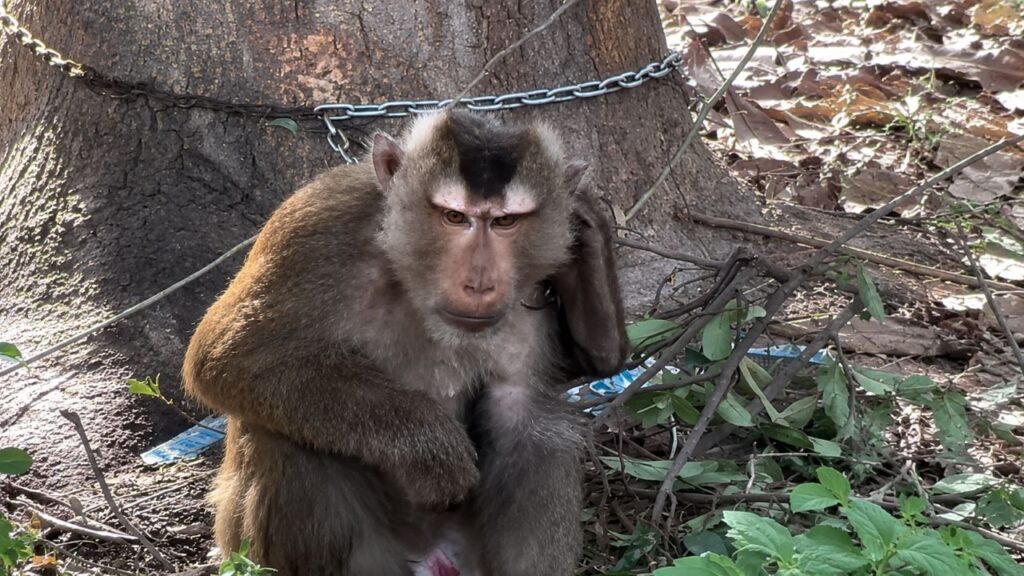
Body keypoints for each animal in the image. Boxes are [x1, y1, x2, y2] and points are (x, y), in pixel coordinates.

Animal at [182, 110, 627, 576]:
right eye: (454, 217)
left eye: (506, 221)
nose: (479, 283)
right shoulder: (318, 227)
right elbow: (228, 357)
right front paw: (430, 451)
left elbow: (587, 368)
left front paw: (591, 227)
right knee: (286, 432)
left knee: (528, 419)